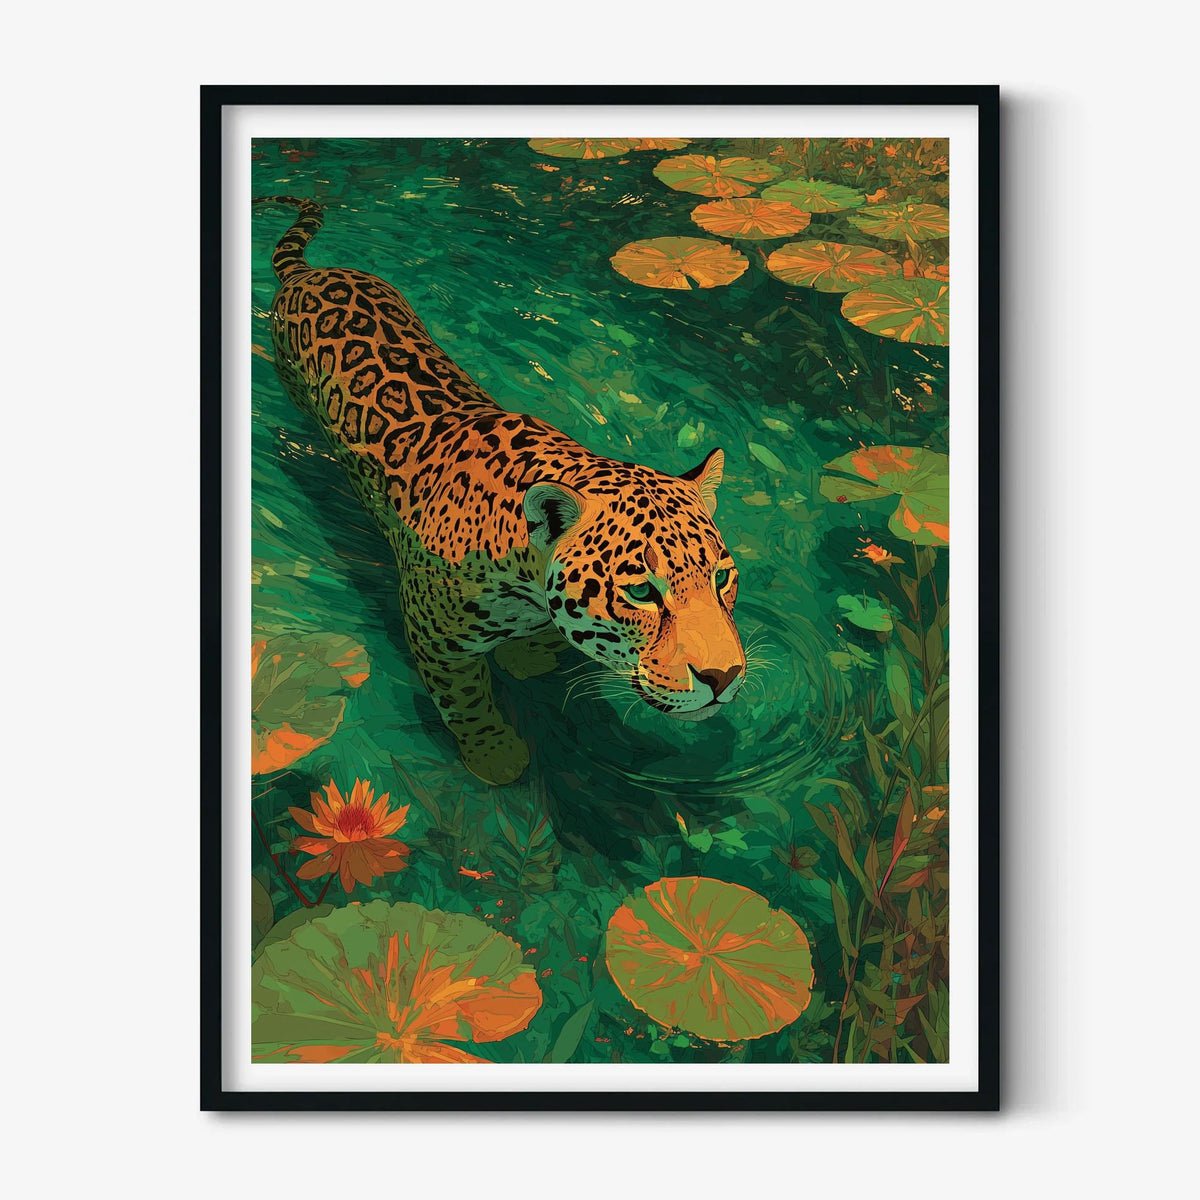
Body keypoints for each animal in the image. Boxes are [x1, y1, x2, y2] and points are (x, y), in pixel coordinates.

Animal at [256, 196, 746, 785]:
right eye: (641, 593)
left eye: (722, 578)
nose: (725, 677)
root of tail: (309, 272)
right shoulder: (434, 640)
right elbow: (465, 700)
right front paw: (494, 753)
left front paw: (529, 655)